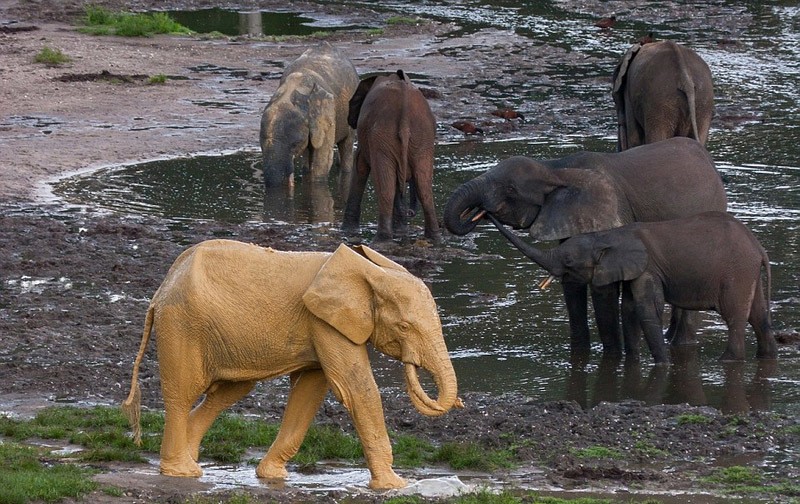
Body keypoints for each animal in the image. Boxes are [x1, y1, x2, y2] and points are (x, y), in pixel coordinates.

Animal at [123, 239, 462, 488]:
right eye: (404, 327)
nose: (458, 402)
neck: (368, 272)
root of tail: (161, 289)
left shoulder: (321, 325)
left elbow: (310, 391)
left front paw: (272, 476)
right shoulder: (324, 323)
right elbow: (355, 388)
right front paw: (395, 486)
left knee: (230, 392)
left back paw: (191, 458)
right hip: (182, 325)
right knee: (183, 392)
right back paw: (182, 472)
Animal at [340, 71, 438, 244]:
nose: (410, 213)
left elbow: (360, 166)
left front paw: (347, 231)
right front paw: (401, 232)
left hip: (383, 136)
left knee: (387, 188)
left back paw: (382, 241)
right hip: (421, 137)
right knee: (424, 188)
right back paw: (434, 239)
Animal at [446, 138, 728, 356]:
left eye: (511, 189)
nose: (481, 212)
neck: (555, 169)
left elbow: (603, 288)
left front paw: (612, 358)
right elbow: (572, 283)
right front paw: (580, 354)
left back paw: (681, 344)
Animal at [488, 211, 776, 364]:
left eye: (568, 261)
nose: (484, 212)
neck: (607, 236)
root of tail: (759, 248)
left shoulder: (648, 268)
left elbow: (646, 309)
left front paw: (662, 364)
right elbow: (628, 310)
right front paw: (632, 361)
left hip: (736, 273)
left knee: (735, 316)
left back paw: (727, 361)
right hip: (747, 271)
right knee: (759, 317)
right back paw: (768, 356)